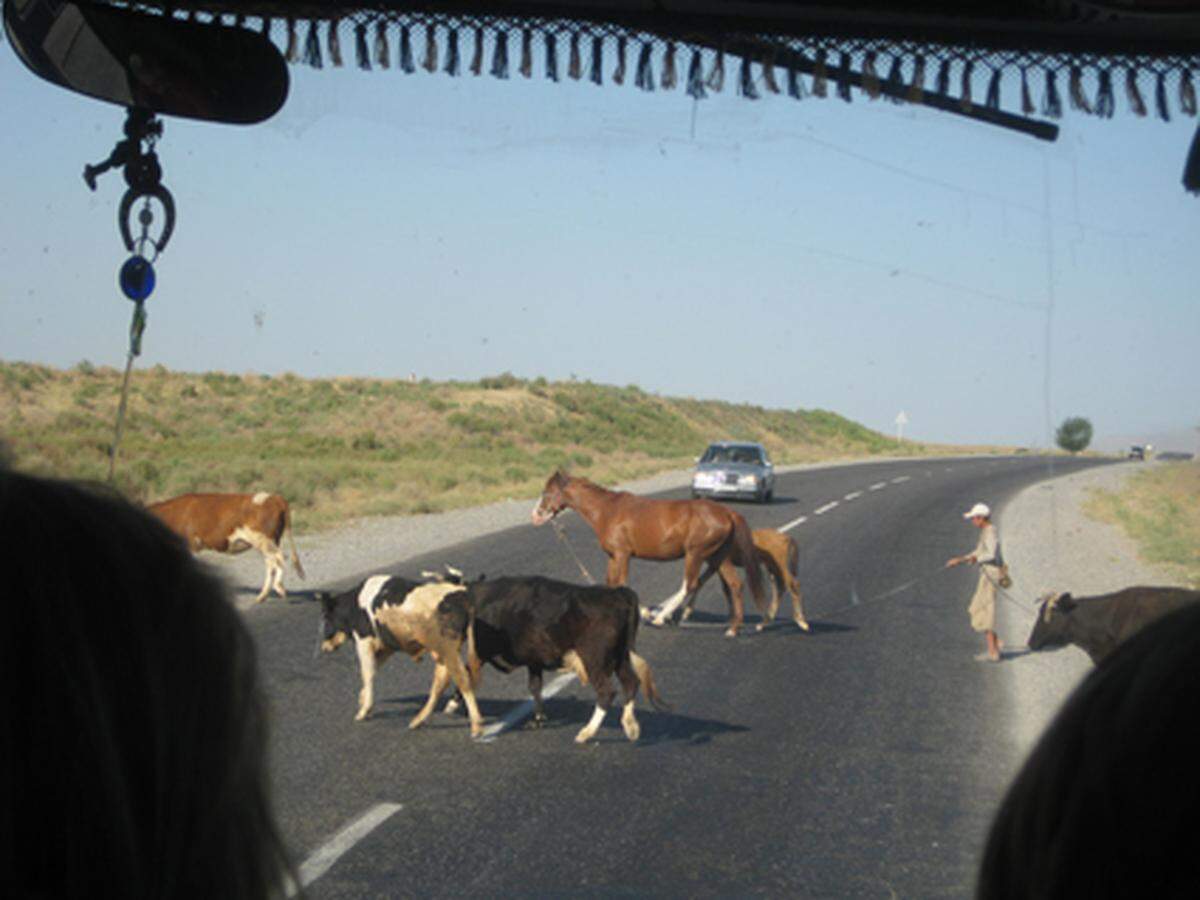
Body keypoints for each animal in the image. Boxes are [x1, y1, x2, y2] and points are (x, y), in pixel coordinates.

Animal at [146, 494, 304, 607]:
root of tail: (275, 497)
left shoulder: (189, 546)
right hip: (269, 541)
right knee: (271, 563)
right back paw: (262, 596)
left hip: (264, 540)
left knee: (280, 557)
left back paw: (279, 587)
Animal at [324, 573, 487, 734]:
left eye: (326, 617)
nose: (324, 647)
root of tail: (464, 599)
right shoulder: (387, 645)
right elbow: (375, 667)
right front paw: (361, 699)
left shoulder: (364, 639)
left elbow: (367, 672)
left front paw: (362, 712)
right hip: (444, 652)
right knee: (442, 681)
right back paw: (417, 721)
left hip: (448, 648)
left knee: (462, 678)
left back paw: (476, 727)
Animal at [436, 578, 672, 748]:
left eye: (444, 610)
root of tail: (618, 593)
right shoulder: (534, 661)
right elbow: (535, 686)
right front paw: (538, 718)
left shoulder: (483, 653)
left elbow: (465, 676)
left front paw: (452, 704)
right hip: (620, 657)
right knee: (631, 683)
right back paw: (631, 727)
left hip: (595, 659)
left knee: (607, 692)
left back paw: (586, 733)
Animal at [535, 468, 768, 638]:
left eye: (546, 492)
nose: (535, 516)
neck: (607, 511)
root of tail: (727, 512)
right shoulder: (613, 556)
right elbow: (611, 582)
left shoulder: (623, 554)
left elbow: (622, 583)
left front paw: (644, 612)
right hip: (718, 556)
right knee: (734, 584)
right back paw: (733, 628)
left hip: (696, 553)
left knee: (691, 584)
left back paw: (661, 616)